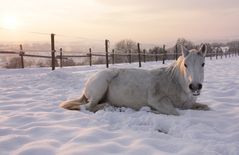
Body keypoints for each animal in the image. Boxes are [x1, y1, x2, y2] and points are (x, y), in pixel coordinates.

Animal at [59, 44, 209, 115]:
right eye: (185, 65)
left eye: (203, 64)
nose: (195, 87)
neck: (175, 82)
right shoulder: (157, 100)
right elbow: (174, 112)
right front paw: (148, 110)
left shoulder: (188, 105)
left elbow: (206, 107)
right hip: (100, 86)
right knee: (87, 107)